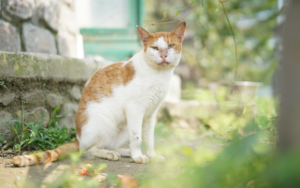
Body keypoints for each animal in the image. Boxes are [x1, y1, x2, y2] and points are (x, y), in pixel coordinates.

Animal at [12, 21, 186, 167]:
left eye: (170, 46)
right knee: (88, 150)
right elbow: (137, 137)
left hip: (121, 129)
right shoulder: (135, 109)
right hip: (104, 123)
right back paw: (111, 154)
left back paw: (123, 151)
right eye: (155, 48)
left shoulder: (151, 113)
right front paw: (138, 157)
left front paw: (152, 155)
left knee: (107, 145)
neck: (159, 76)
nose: (163, 54)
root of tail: (78, 138)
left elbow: (149, 139)